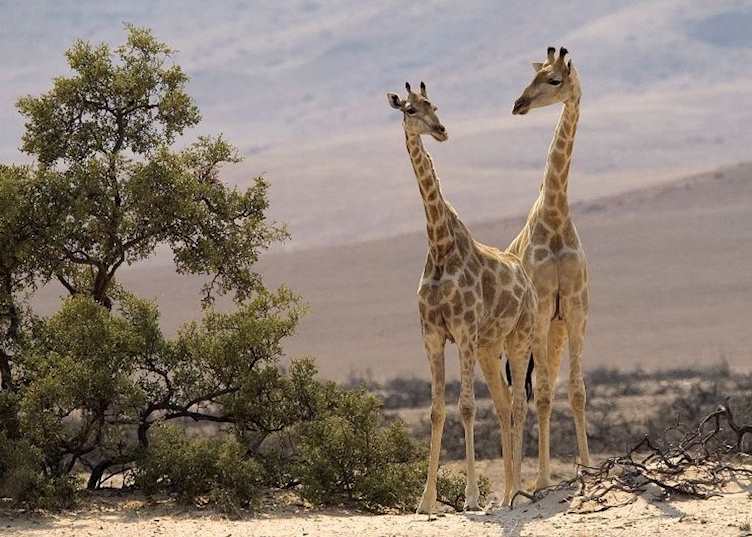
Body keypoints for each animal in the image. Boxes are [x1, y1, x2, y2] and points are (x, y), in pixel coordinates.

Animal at [387, 81, 537, 511]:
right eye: (409, 109)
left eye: (434, 105)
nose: (441, 130)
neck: (440, 247)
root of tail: (526, 278)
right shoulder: (432, 334)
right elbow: (436, 411)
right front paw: (425, 502)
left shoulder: (464, 330)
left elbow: (467, 407)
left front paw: (469, 497)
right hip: (489, 347)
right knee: (503, 405)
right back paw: (504, 494)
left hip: (520, 337)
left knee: (518, 405)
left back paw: (515, 495)